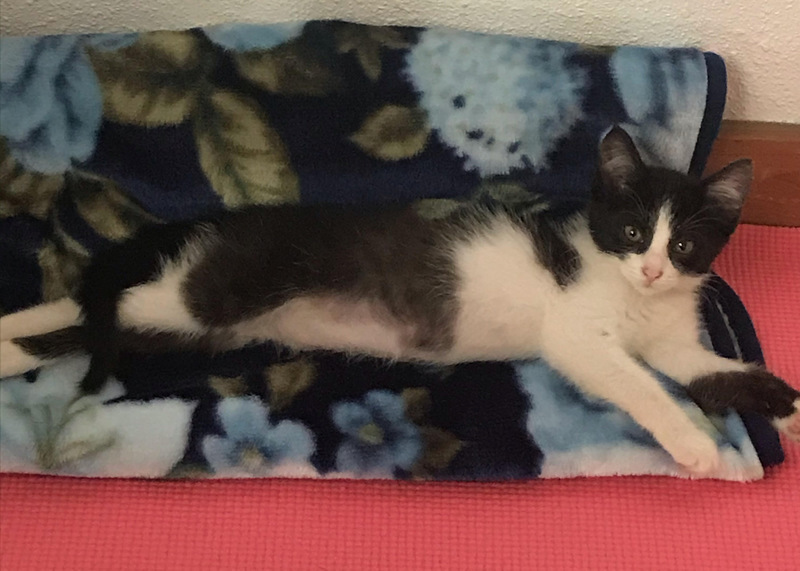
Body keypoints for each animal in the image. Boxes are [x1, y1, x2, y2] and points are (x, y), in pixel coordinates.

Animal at [1, 126, 798, 474]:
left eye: (685, 245)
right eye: (633, 232)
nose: (656, 271)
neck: (630, 293)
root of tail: (223, 222)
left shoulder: (675, 339)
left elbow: (713, 371)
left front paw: (784, 405)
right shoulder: (575, 333)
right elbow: (640, 383)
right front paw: (695, 443)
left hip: (195, 328)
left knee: (101, 320)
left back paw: (12, 343)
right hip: (211, 294)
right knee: (97, 302)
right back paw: (13, 333)